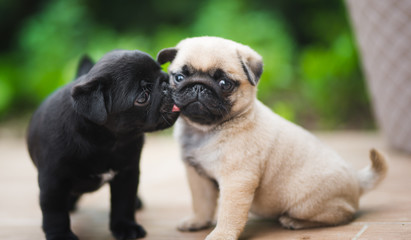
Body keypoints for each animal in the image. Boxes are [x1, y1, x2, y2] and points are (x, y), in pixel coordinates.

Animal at [27, 49, 179, 239]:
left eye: (162, 72)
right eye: (142, 97)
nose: (166, 83)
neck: (107, 142)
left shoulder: (127, 174)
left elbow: (123, 203)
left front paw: (125, 226)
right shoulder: (53, 182)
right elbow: (55, 213)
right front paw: (60, 235)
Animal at [157, 36, 386, 240]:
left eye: (224, 83)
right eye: (179, 77)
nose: (198, 86)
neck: (205, 130)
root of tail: (357, 180)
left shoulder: (236, 181)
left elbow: (229, 214)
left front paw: (221, 235)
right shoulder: (198, 177)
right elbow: (202, 203)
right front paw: (198, 221)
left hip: (304, 202)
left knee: (344, 214)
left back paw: (295, 221)